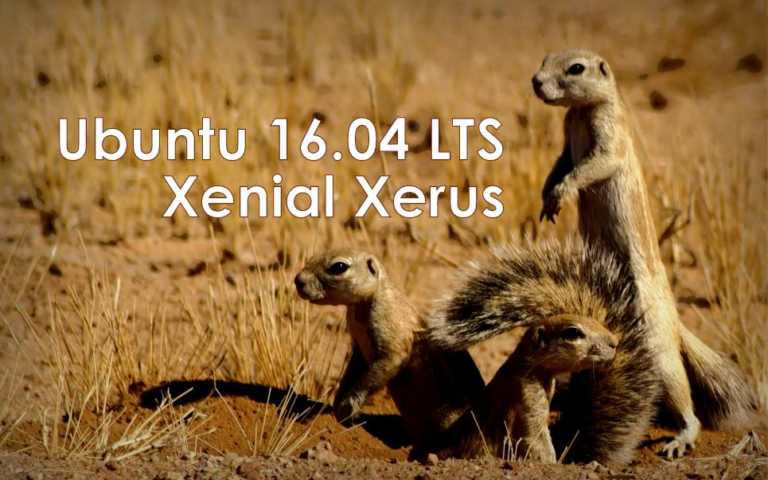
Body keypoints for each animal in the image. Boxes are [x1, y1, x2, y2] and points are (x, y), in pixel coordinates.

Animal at [294, 249, 485, 447]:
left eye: (339, 266)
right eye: (312, 257)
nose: (298, 280)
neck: (362, 306)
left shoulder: (389, 323)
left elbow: (390, 359)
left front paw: (348, 407)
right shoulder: (359, 349)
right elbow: (352, 371)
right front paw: (337, 403)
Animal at [532, 49, 758, 458]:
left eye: (576, 68)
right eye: (545, 59)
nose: (535, 82)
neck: (581, 112)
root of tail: (676, 324)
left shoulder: (610, 137)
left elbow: (593, 165)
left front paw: (562, 191)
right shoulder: (566, 139)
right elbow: (560, 163)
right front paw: (547, 199)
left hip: (658, 351)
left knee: (685, 399)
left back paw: (681, 437)